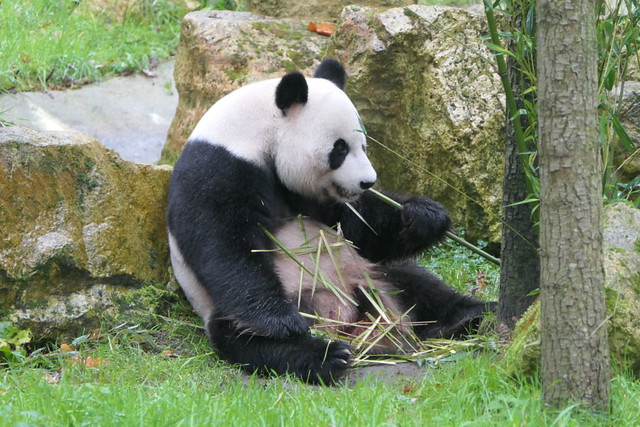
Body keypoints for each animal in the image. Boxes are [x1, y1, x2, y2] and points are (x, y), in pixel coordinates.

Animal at [167, 59, 493, 384]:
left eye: (364, 146)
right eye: (340, 148)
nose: (367, 182)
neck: (255, 133)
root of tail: (346, 322)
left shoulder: (317, 199)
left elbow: (359, 227)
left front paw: (424, 216)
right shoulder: (218, 169)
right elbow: (225, 244)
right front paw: (280, 320)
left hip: (371, 272)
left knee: (417, 282)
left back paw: (466, 316)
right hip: (227, 307)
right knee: (247, 337)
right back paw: (326, 355)